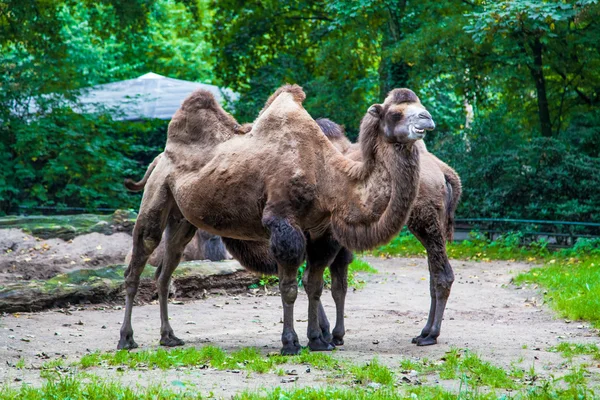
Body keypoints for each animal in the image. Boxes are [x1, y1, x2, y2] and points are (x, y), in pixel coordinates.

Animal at [117, 83, 434, 354]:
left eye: (420, 105)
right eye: (394, 113)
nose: (428, 120)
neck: (330, 177)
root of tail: (159, 158)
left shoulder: (320, 232)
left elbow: (314, 286)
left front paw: (318, 341)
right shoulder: (283, 223)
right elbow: (289, 288)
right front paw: (291, 344)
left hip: (182, 219)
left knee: (165, 271)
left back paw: (168, 337)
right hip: (156, 194)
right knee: (137, 261)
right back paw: (126, 339)